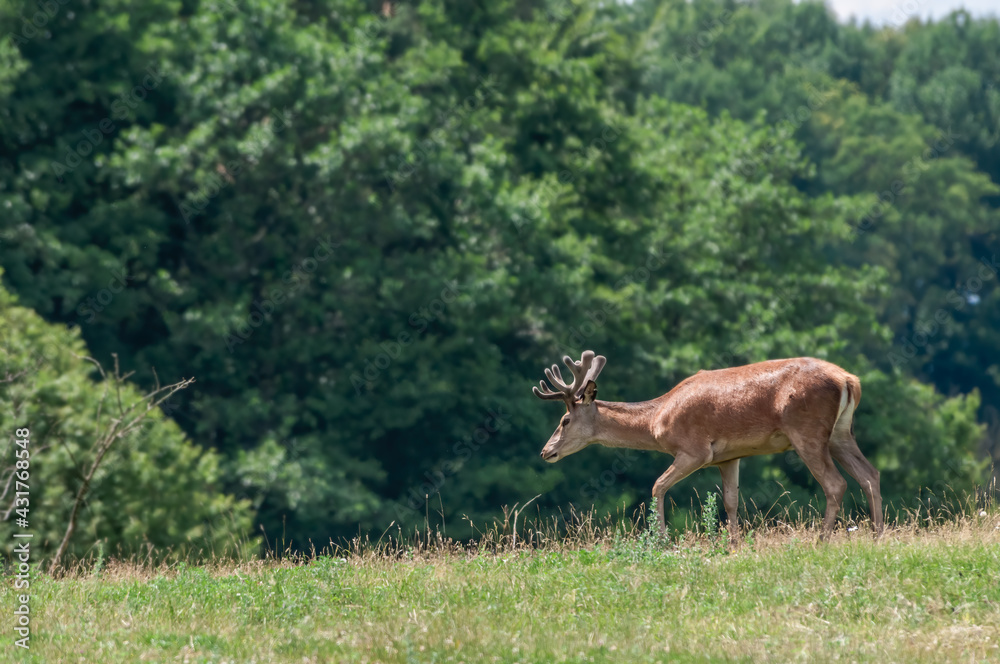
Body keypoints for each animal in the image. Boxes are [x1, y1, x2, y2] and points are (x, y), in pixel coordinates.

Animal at [533, 350, 883, 542]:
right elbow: (731, 501)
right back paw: (878, 536)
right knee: (870, 475)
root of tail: (849, 380)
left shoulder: (695, 450)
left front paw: (662, 541)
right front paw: (734, 545)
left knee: (836, 483)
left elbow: (657, 486)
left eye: (565, 420)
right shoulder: (729, 456)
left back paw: (822, 541)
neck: (657, 420)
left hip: (806, 430)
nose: (545, 451)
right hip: (840, 433)